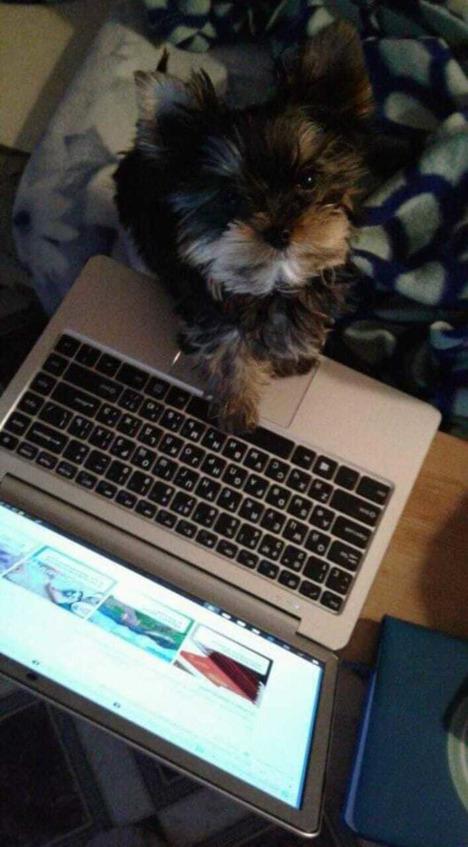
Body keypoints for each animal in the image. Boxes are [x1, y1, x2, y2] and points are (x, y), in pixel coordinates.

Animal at [114, 20, 373, 433]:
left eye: (309, 180)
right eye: (232, 198)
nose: (279, 231)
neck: (273, 283)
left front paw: (293, 356)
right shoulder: (211, 307)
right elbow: (229, 346)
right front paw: (238, 405)